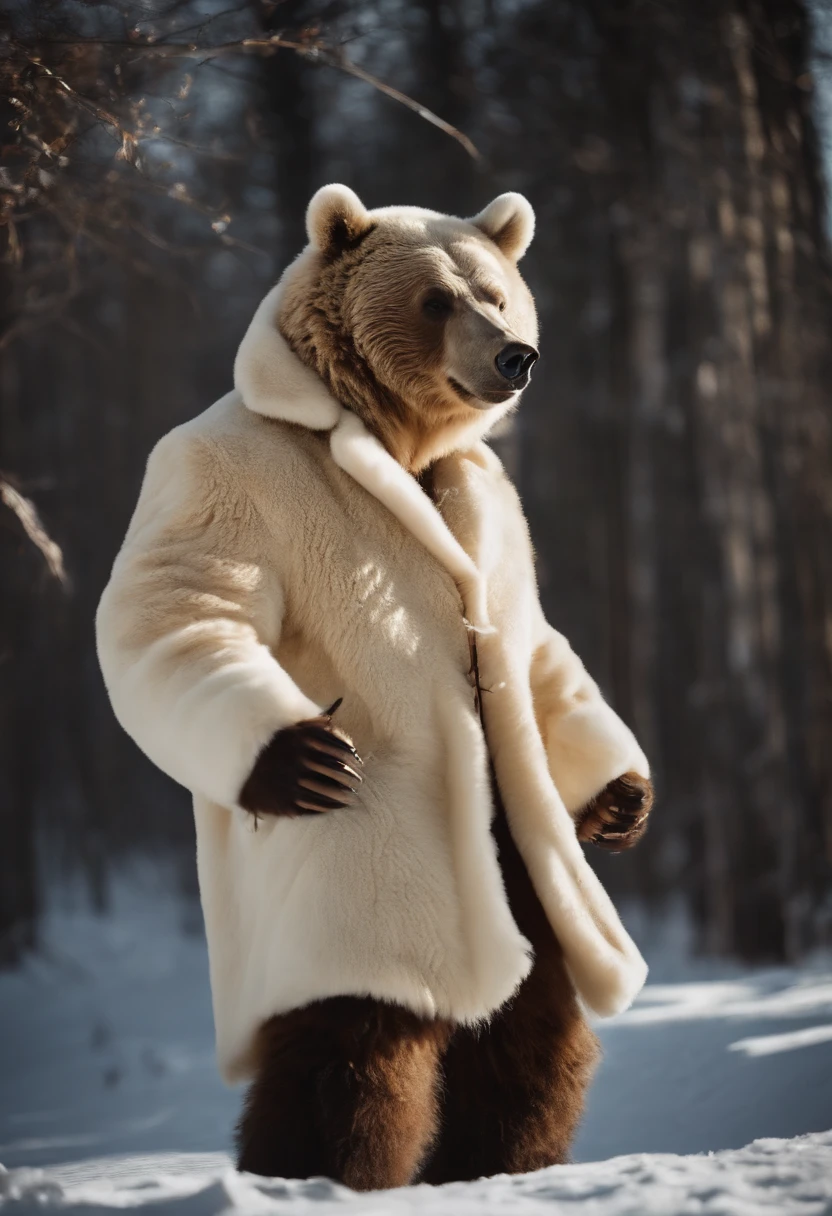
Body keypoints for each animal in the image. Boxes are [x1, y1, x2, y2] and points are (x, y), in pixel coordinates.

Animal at [97, 184, 651, 1191]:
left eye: (496, 293)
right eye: (436, 300)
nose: (515, 356)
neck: (397, 437)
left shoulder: (492, 509)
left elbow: (538, 649)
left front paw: (621, 795)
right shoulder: (223, 479)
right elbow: (182, 604)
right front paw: (294, 757)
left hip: (523, 874)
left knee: (532, 1026)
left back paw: (499, 1159)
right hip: (369, 896)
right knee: (354, 1041)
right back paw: (319, 1168)